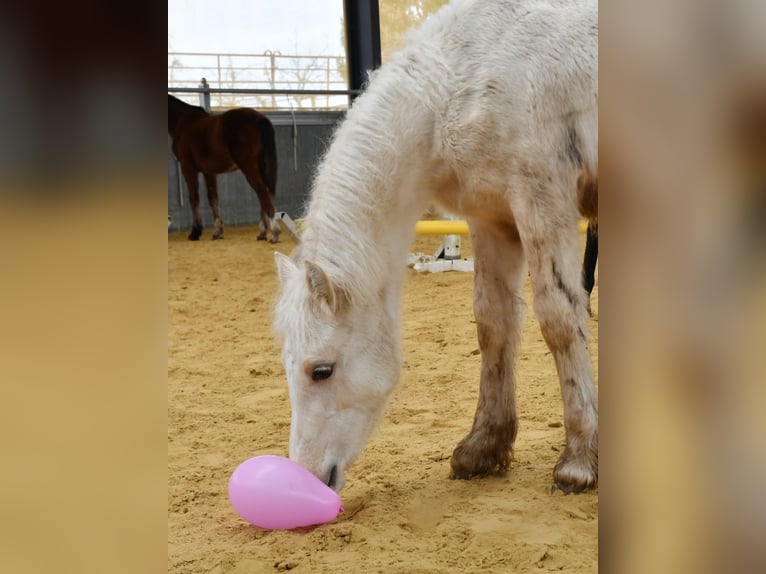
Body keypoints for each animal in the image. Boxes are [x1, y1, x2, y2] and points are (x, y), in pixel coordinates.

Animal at [168, 95, 282, 243]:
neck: (182, 121)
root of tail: (260, 118)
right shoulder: (208, 171)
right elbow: (213, 198)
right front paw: (218, 232)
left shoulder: (188, 168)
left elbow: (194, 198)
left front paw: (195, 232)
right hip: (259, 167)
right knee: (264, 193)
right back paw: (262, 232)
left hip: (249, 168)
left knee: (262, 193)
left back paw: (274, 233)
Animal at [274, 0, 600, 496]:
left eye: (321, 369)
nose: (307, 477)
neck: (460, 84)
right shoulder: (492, 219)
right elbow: (493, 323)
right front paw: (483, 446)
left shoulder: (543, 204)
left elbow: (560, 320)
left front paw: (579, 458)